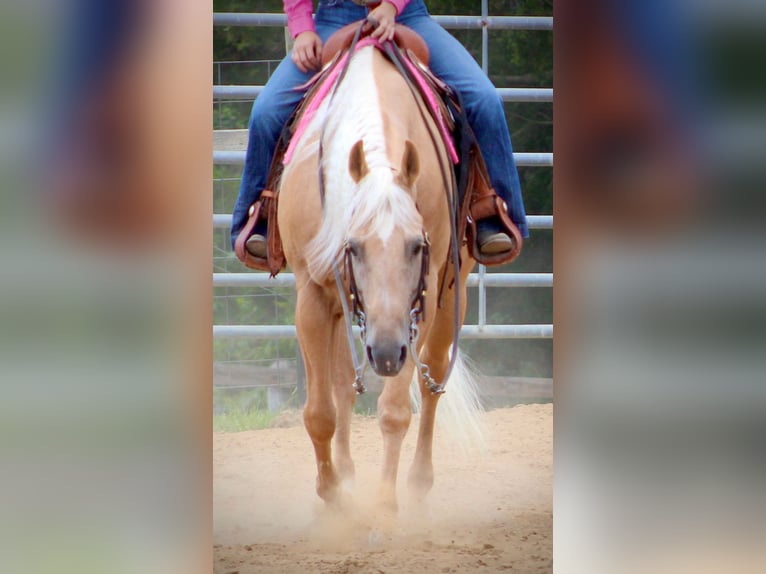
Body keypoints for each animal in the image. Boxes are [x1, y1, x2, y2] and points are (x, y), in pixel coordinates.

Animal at [277, 34, 480, 513]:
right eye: (353, 247)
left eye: (417, 246)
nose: (387, 352)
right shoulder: (312, 296)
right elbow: (320, 412)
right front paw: (333, 495)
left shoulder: (421, 299)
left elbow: (394, 411)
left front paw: (386, 506)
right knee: (341, 386)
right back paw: (348, 474)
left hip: (452, 293)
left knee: (430, 379)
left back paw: (419, 484)